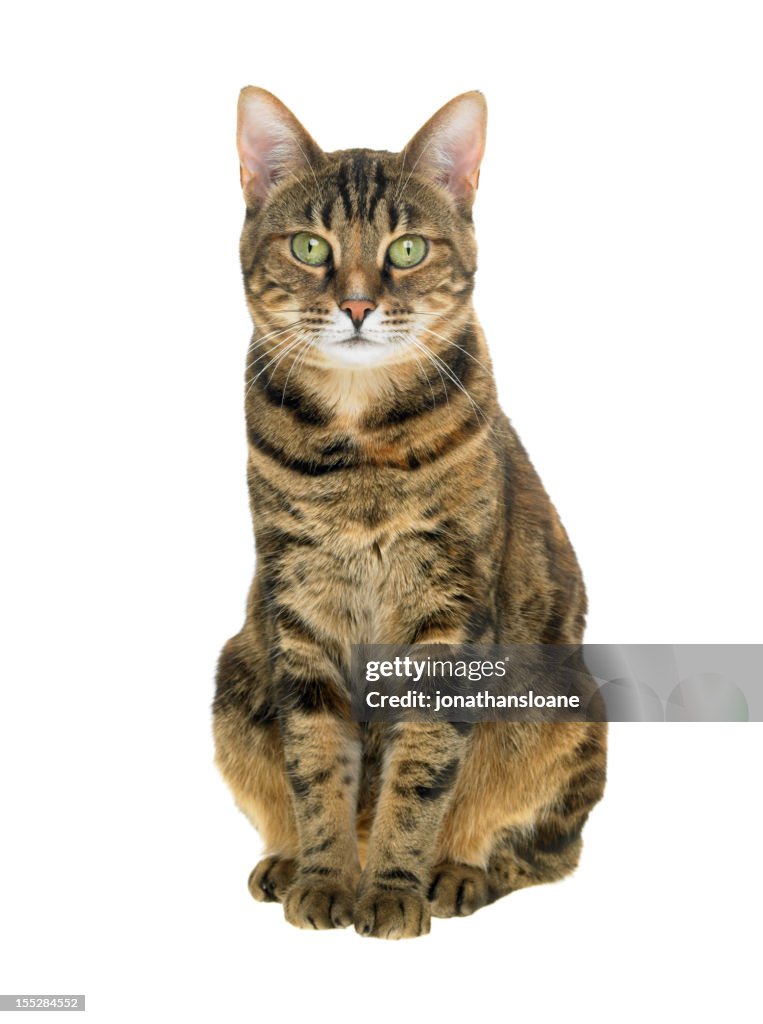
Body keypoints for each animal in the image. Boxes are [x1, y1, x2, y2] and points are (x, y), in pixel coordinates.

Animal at [213, 86, 606, 937]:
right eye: (309, 247)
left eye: (407, 250)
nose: (358, 304)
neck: (359, 443)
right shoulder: (298, 610)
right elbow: (315, 766)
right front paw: (325, 878)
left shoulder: (447, 614)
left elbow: (420, 772)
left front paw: (394, 888)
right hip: (235, 672)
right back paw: (287, 861)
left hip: (567, 706)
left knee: (544, 852)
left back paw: (457, 874)